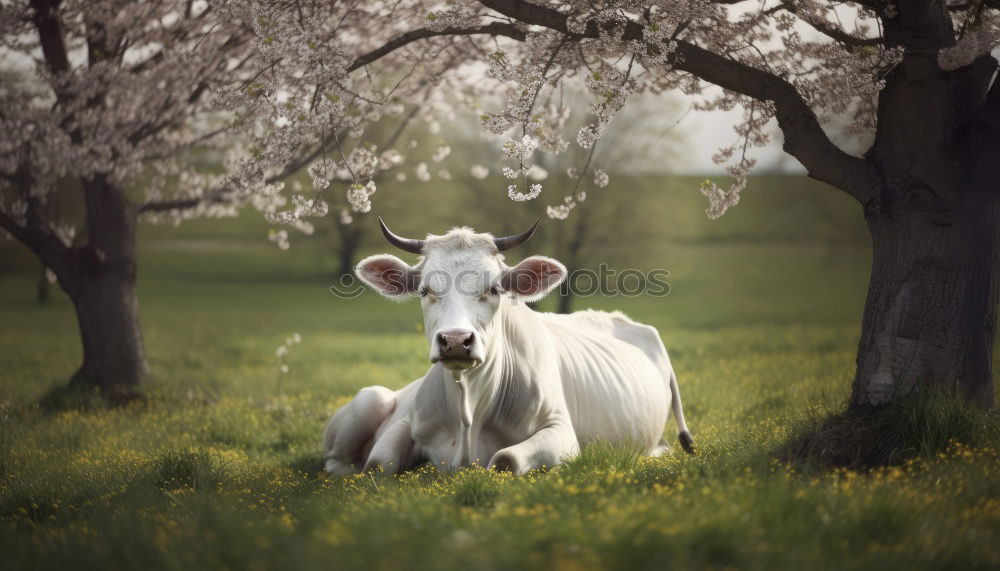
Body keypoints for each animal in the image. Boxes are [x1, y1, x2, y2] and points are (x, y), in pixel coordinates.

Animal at [324, 219, 692, 474]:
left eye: (495, 288)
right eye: (425, 290)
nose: (455, 340)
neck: (469, 408)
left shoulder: (561, 432)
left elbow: (505, 460)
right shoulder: (407, 422)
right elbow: (378, 463)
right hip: (372, 396)